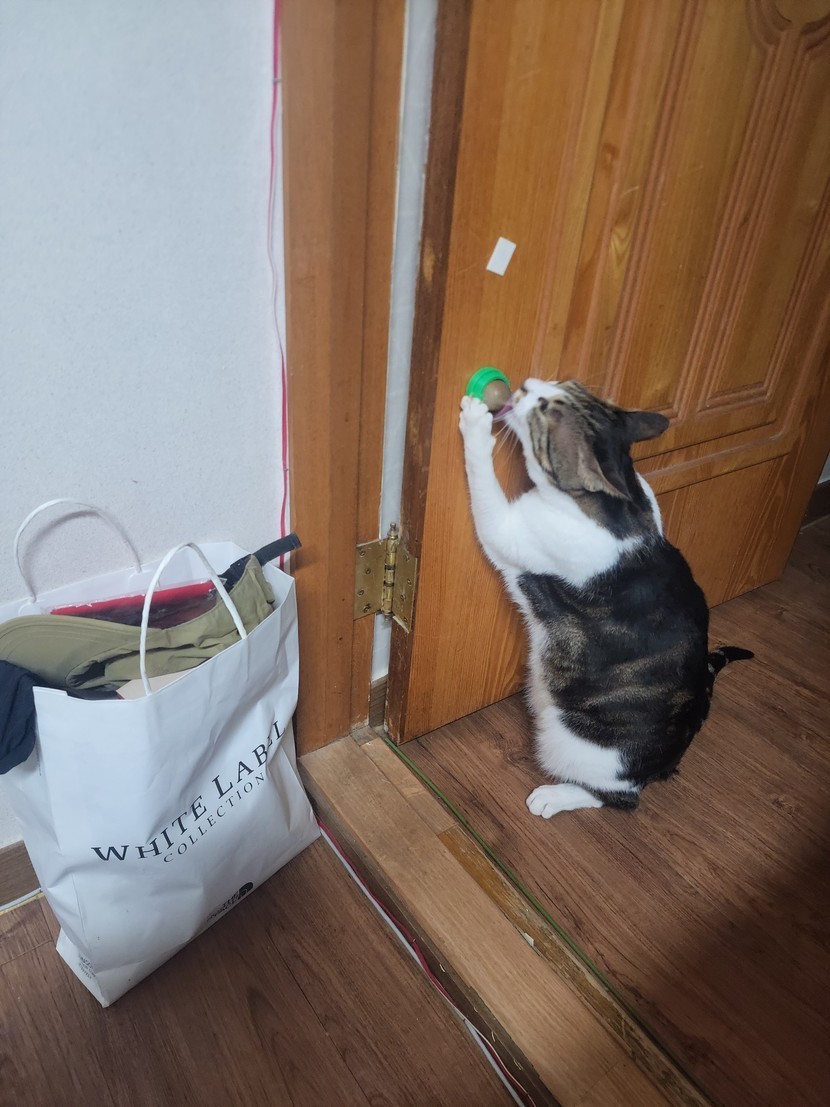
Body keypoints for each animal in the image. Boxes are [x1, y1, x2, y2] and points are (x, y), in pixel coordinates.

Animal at [459, 378, 752, 818]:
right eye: (565, 384)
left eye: (545, 408)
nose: (527, 384)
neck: (623, 502)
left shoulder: (507, 531)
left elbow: (485, 488)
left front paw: (475, 425)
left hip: (572, 740)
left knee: (619, 797)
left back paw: (553, 797)